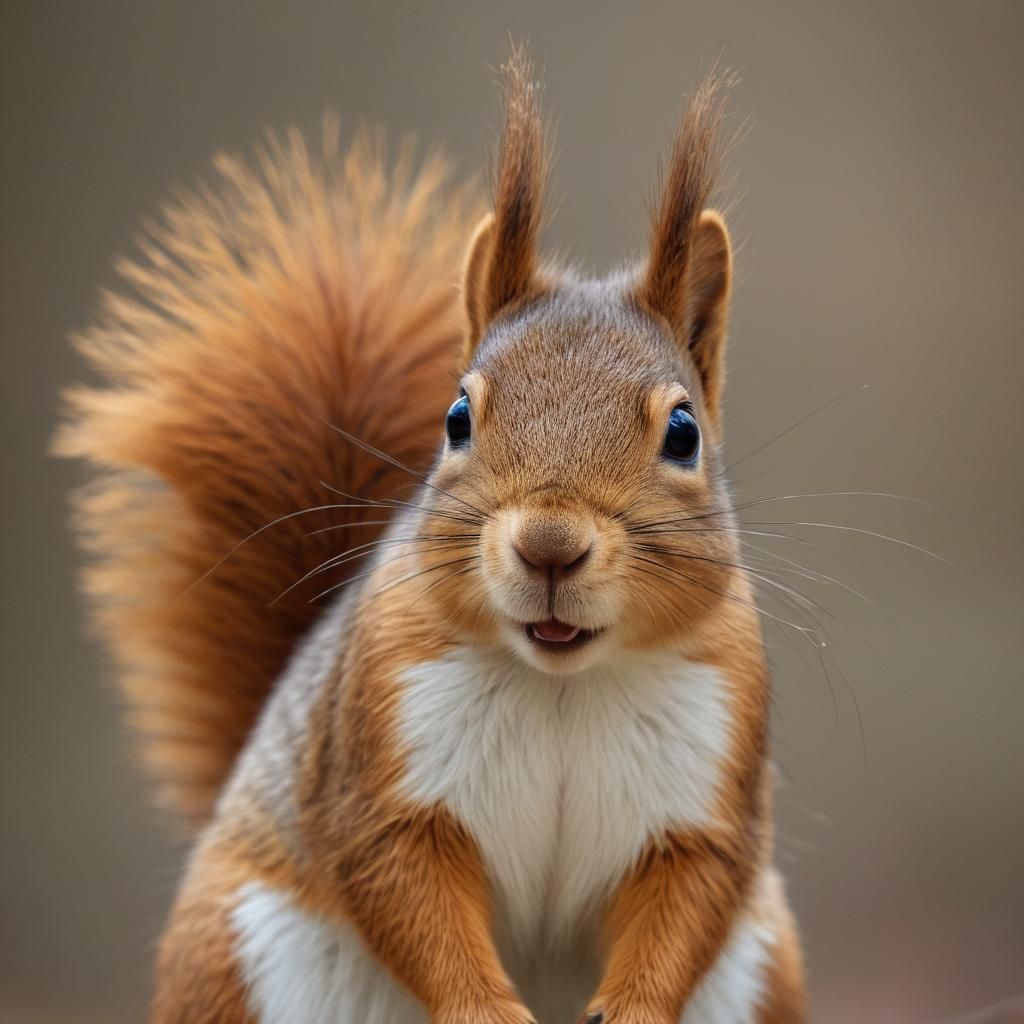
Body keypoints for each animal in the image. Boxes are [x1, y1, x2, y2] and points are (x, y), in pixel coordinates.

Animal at [57, 48, 805, 1024]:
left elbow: (689, 895)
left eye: (684, 434)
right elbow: (408, 887)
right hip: (229, 951)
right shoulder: (384, 760)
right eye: (456, 419)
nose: (550, 544)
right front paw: (488, 1011)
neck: (561, 684)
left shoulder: (709, 779)